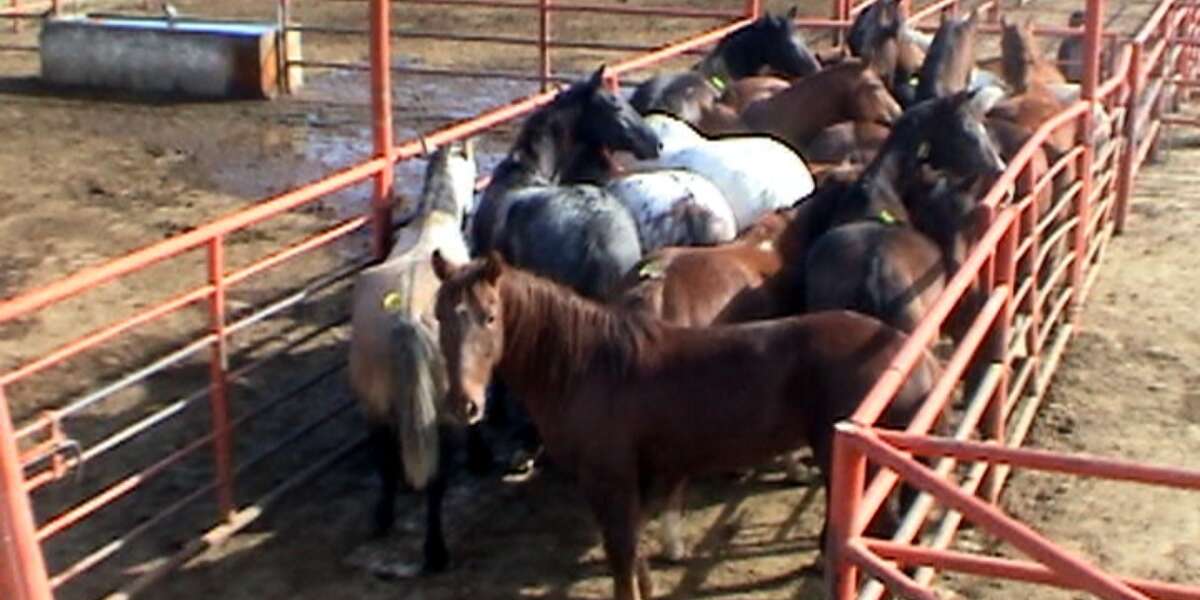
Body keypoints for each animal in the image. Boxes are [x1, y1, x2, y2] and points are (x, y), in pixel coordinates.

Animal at [348, 141, 490, 576]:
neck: (432, 223)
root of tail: (407, 316)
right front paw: (480, 456)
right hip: (441, 412)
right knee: (436, 480)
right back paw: (436, 551)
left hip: (375, 404)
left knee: (386, 461)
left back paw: (383, 518)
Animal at [430, 251, 941, 600]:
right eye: (439, 318)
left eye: (490, 317)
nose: (463, 404)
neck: (587, 367)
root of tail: (912, 356)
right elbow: (634, 555)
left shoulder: (609, 480)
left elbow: (621, 555)